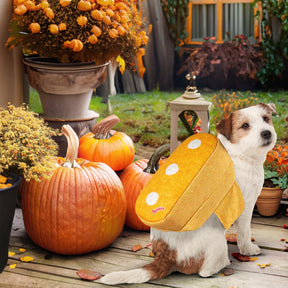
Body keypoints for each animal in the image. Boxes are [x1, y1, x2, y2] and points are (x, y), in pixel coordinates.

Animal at [101, 102, 276, 284]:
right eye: (245, 126)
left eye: (266, 119)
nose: (266, 133)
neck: (240, 153)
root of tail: (166, 256)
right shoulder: (244, 207)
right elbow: (244, 232)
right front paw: (249, 249)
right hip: (216, 239)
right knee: (204, 271)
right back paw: (222, 264)